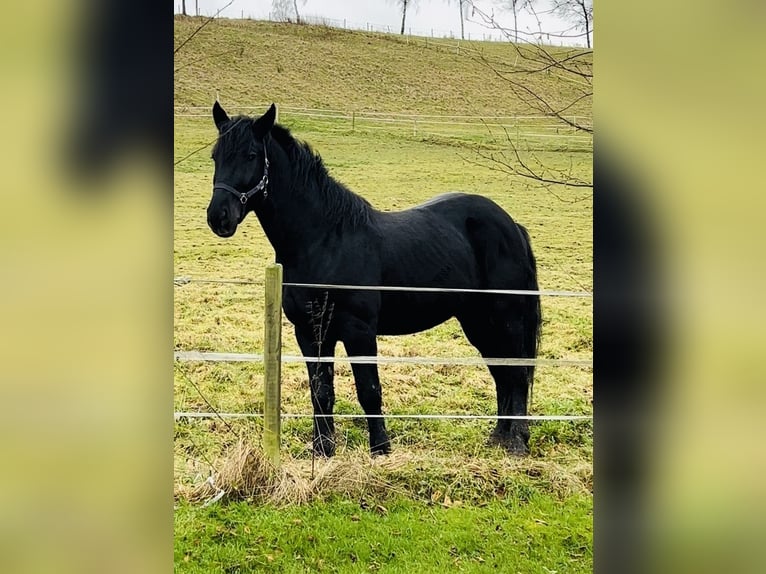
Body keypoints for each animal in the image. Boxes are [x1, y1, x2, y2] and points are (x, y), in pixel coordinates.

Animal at [204, 102, 540, 454]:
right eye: (216, 156)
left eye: (251, 155)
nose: (219, 217)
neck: (325, 241)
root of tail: (511, 225)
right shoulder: (309, 333)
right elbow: (320, 392)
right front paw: (323, 450)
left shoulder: (359, 332)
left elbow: (369, 390)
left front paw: (380, 449)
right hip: (477, 320)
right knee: (502, 373)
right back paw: (498, 438)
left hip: (507, 318)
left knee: (517, 375)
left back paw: (517, 443)